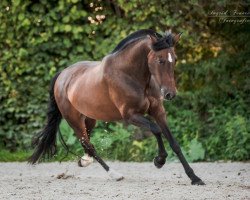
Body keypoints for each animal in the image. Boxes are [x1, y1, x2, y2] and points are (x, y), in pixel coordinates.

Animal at [28, 28, 205, 185]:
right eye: (160, 60)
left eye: (174, 59)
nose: (170, 94)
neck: (130, 74)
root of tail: (62, 75)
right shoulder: (130, 115)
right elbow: (156, 129)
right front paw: (159, 160)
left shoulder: (158, 111)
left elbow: (174, 143)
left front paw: (195, 178)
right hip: (74, 120)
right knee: (89, 145)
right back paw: (114, 174)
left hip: (89, 119)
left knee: (87, 144)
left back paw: (84, 161)